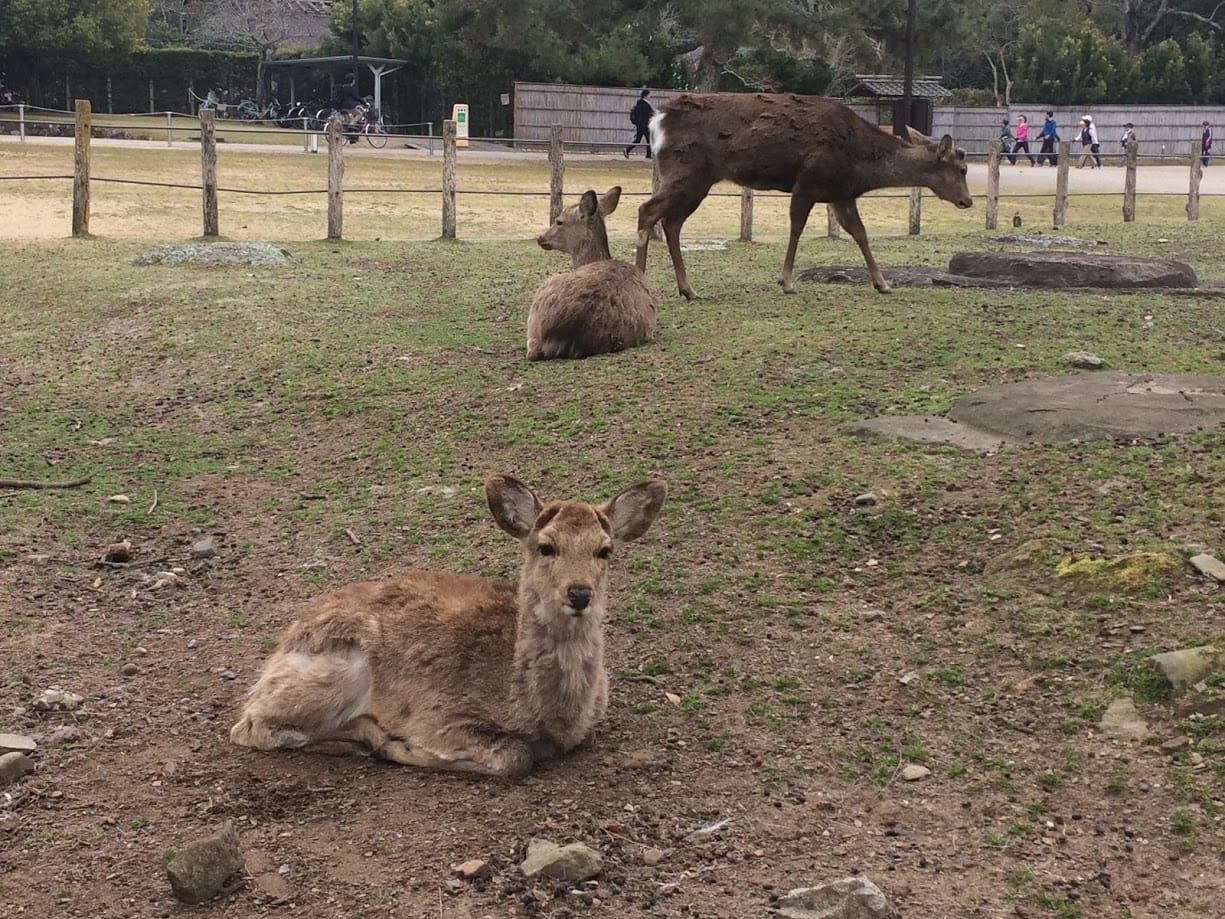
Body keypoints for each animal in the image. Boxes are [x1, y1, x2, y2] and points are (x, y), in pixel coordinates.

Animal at [229, 474, 666, 779]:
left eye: (604, 550)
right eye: (546, 546)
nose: (579, 593)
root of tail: (279, 650)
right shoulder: (440, 715)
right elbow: (515, 756)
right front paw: (402, 747)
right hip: (333, 677)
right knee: (249, 727)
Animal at [634, 92, 974, 299]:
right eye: (963, 168)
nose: (967, 201)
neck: (861, 165)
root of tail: (657, 121)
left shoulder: (841, 193)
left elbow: (860, 233)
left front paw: (883, 283)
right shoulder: (809, 181)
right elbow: (797, 227)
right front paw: (785, 282)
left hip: (697, 181)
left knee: (672, 223)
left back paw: (688, 290)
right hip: (686, 171)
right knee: (647, 210)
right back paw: (642, 280)